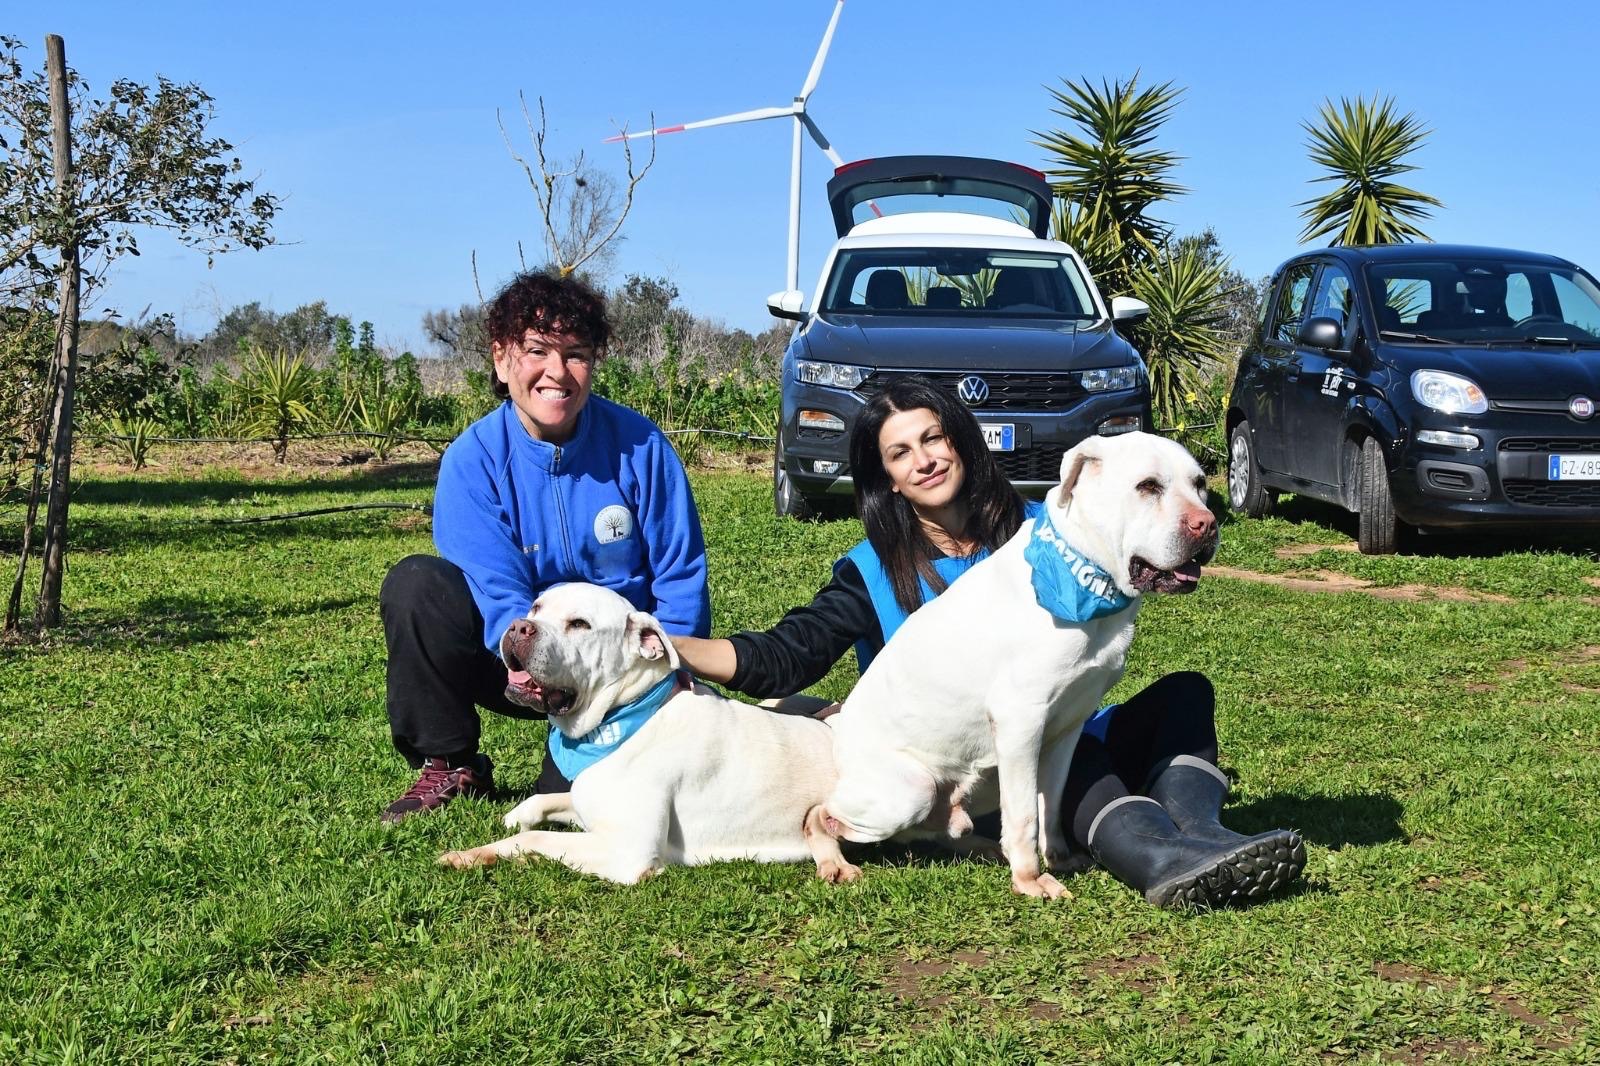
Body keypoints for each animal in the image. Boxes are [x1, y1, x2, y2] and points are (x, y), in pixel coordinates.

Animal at [438, 583, 856, 885]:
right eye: (536, 608)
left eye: (580, 624)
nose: (518, 626)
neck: (621, 718)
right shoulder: (591, 807)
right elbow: (544, 802)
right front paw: (498, 831)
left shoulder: (627, 849)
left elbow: (535, 838)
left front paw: (482, 852)